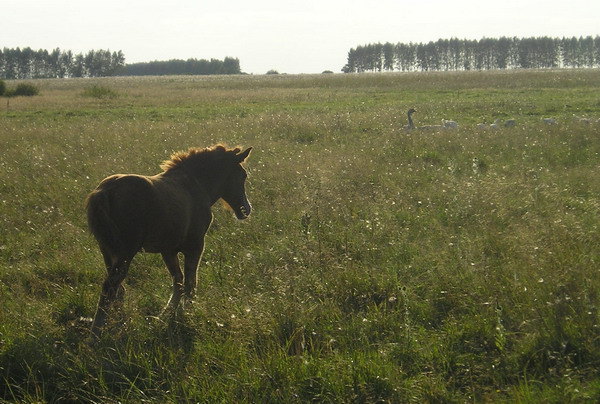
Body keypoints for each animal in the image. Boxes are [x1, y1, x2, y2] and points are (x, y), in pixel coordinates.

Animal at [85, 145, 252, 338]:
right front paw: (186, 314)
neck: (194, 185)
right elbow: (190, 284)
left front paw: (164, 315)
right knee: (110, 287)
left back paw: (121, 323)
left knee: (118, 289)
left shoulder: (168, 250)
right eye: (242, 175)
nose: (246, 210)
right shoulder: (195, 246)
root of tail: (103, 192)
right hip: (125, 253)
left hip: (107, 251)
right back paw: (95, 335)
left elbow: (178, 281)